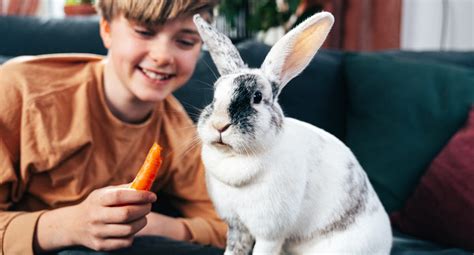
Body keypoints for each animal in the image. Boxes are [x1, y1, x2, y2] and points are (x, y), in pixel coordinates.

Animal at [193, 12, 392, 255]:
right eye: (214, 95)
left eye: (257, 97)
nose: (219, 125)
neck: (236, 158)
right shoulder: (237, 227)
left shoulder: (270, 234)